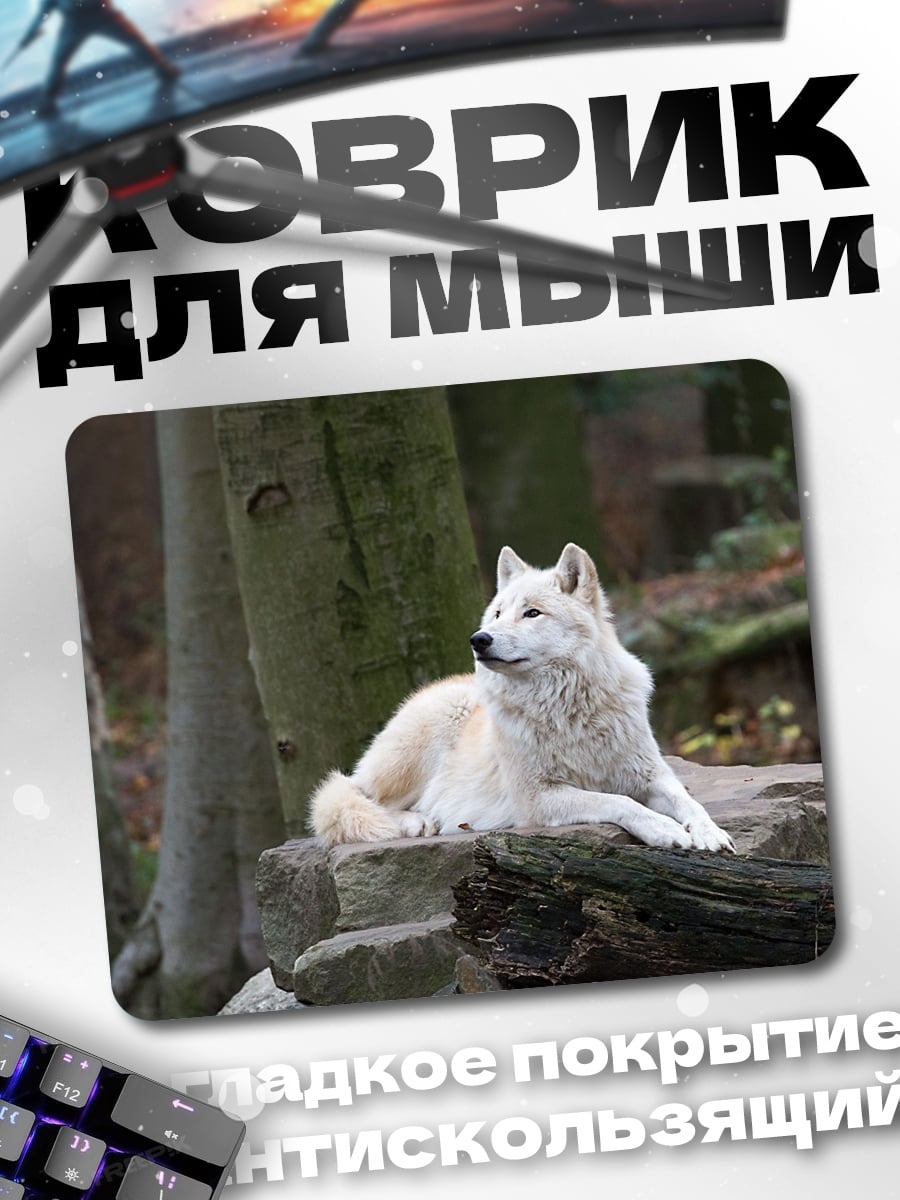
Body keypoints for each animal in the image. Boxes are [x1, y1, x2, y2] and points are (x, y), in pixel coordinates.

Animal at [311, 543, 734, 853]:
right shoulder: (539, 797)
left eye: (532, 613)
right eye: (498, 614)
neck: (567, 707)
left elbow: (688, 801)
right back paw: (420, 821)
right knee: (359, 798)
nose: (479, 639)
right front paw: (667, 830)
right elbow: (620, 802)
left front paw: (710, 833)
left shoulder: (650, 774)